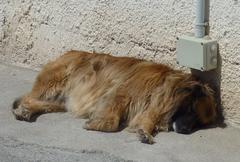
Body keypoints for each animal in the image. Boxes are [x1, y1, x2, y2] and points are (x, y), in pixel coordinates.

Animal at [12, 50, 217, 144]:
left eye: (199, 122)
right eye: (192, 110)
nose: (185, 130)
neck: (162, 85)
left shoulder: (151, 107)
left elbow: (146, 120)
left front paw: (144, 132)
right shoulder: (122, 94)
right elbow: (112, 121)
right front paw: (96, 123)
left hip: (60, 101)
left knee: (42, 104)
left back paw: (28, 112)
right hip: (56, 82)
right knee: (28, 97)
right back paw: (23, 110)